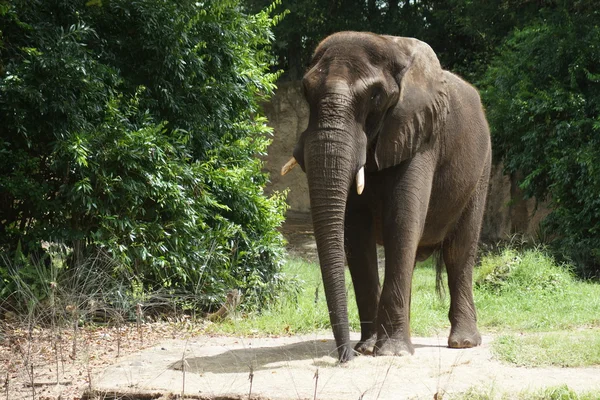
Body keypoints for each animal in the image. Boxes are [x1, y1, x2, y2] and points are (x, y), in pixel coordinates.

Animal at [282, 31, 492, 362]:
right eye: (305, 91)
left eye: (375, 97)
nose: (344, 358)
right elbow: (356, 233)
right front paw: (368, 348)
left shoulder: (420, 134)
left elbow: (402, 220)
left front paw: (391, 353)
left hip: (482, 168)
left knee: (459, 251)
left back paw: (463, 343)